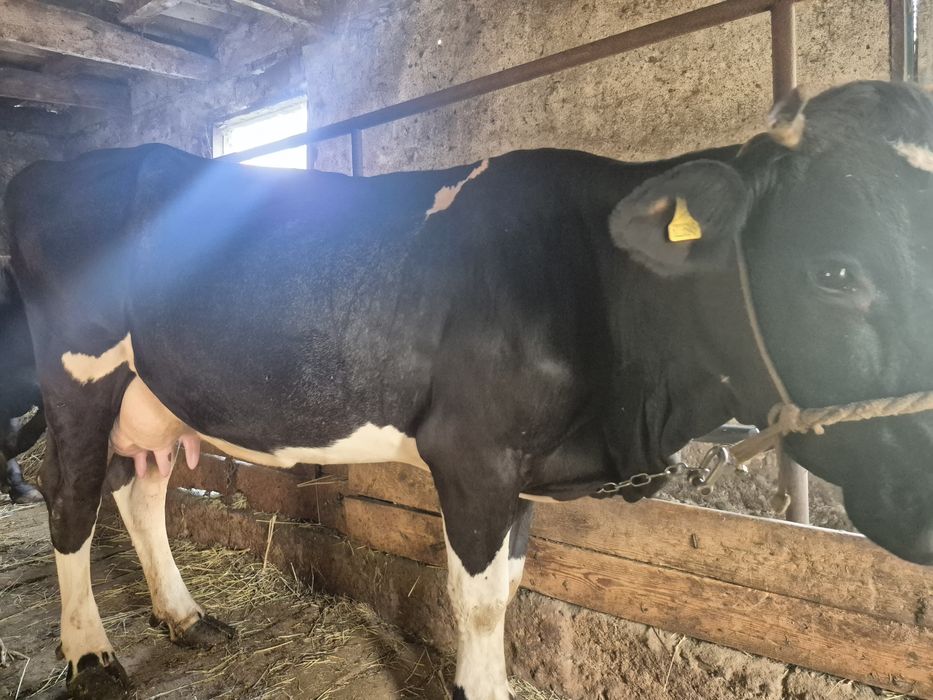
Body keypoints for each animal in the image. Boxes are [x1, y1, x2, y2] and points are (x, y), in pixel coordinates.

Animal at [5, 80, 933, 700]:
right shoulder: (473, 453)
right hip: (78, 372)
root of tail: (58, 170)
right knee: (69, 495)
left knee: (141, 487)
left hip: (151, 393)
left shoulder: (521, 466)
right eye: (833, 270)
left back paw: (184, 615)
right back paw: (90, 655)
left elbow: (510, 587)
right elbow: (478, 600)